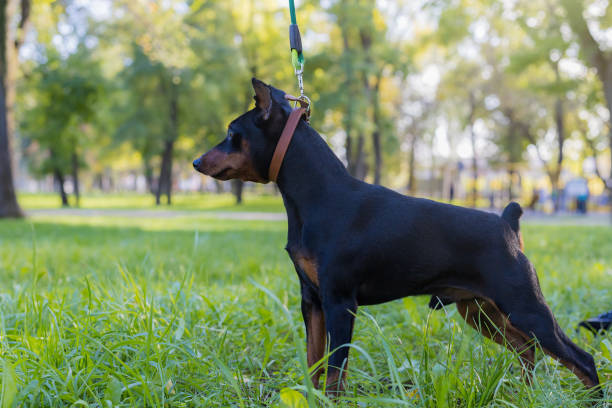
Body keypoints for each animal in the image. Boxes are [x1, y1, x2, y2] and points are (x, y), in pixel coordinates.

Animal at [194, 78, 600, 394]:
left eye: (231, 135)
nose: (197, 162)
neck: (317, 195)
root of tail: (508, 223)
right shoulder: (311, 301)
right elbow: (315, 364)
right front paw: (311, 396)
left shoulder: (339, 303)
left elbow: (335, 372)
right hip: (483, 312)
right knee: (527, 351)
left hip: (524, 308)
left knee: (581, 358)